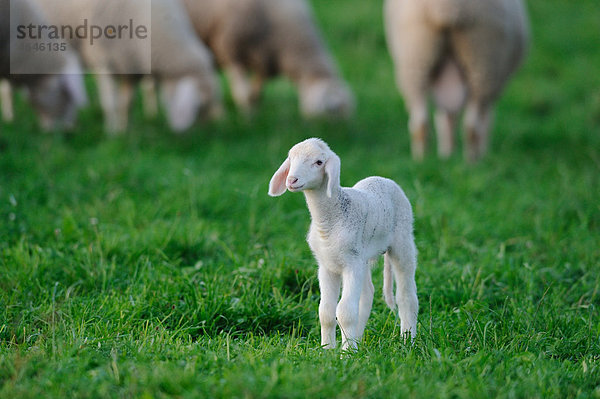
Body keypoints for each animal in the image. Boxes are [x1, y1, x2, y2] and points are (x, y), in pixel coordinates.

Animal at [35, 0, 223, 134]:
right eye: (200, 105)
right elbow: (110, 102)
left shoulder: (130, 66)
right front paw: (111, 132)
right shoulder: (103, 59)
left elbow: (126, 103)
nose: (203, 135)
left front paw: (124, 131)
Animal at [180, 0, 354, 119]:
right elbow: (243, 94)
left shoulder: (265, 62)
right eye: (334, 110)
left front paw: (254, 113)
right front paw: (248, 119)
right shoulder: (231, 50)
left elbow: (256, 94)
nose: (345, 134)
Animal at [268, 138, 418, 350]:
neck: (331, 219)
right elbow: (326, 312)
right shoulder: (327, 266)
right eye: (291, 159)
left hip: (402, 242)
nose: (291, 180)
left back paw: (407, 341)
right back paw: (359, 340)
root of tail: (384, 179)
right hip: (363, 258)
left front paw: (346, 353)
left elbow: (345, 312)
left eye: (319, 162)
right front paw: (327, 350)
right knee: (367, 295)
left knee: (406, 296)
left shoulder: (351, 264)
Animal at [384, 0, 528, 162]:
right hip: (482, 59)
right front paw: (481, 152)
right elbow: (486, 121)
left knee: (420, 123)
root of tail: (446, 6)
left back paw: (421, 160)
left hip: (415, 58)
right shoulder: (494, 88)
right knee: (472, 126)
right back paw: (472, 162)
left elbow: (445, 121)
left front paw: (447, 155)